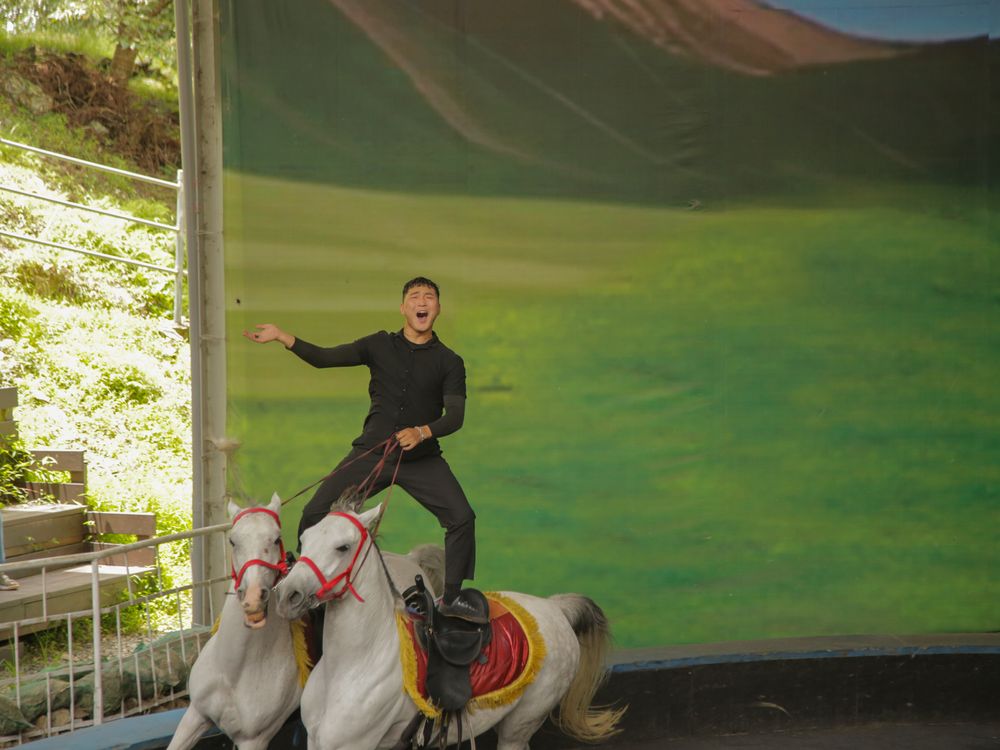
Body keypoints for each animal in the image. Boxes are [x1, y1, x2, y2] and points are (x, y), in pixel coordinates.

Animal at [169, 494, 445, 750]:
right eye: (233, 541)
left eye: (276, 539)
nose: (254, 596)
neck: (235, 669)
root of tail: (409, 558)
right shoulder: (195, 715)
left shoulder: (254, 740)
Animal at [273, 498, 624, 750]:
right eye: (304, 539)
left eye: (343, 547)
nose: (287, 594)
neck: (353, 665)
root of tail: (554, 608)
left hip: (520, 726)